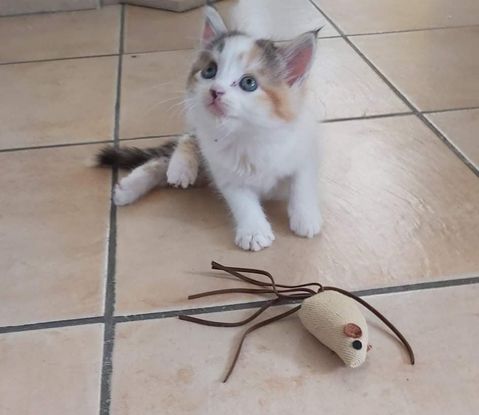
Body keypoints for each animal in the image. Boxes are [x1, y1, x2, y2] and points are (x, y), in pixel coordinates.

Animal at [94, 6, 322, 251]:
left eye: (248, 83)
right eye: (210, 71)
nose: (215, 90)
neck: (246, 135)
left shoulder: (305, 146)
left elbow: (302, 182)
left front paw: (305, 217)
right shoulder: (224, 173)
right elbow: (242, 201)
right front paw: (253, 230)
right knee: (182, 142)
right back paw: (163, 175)